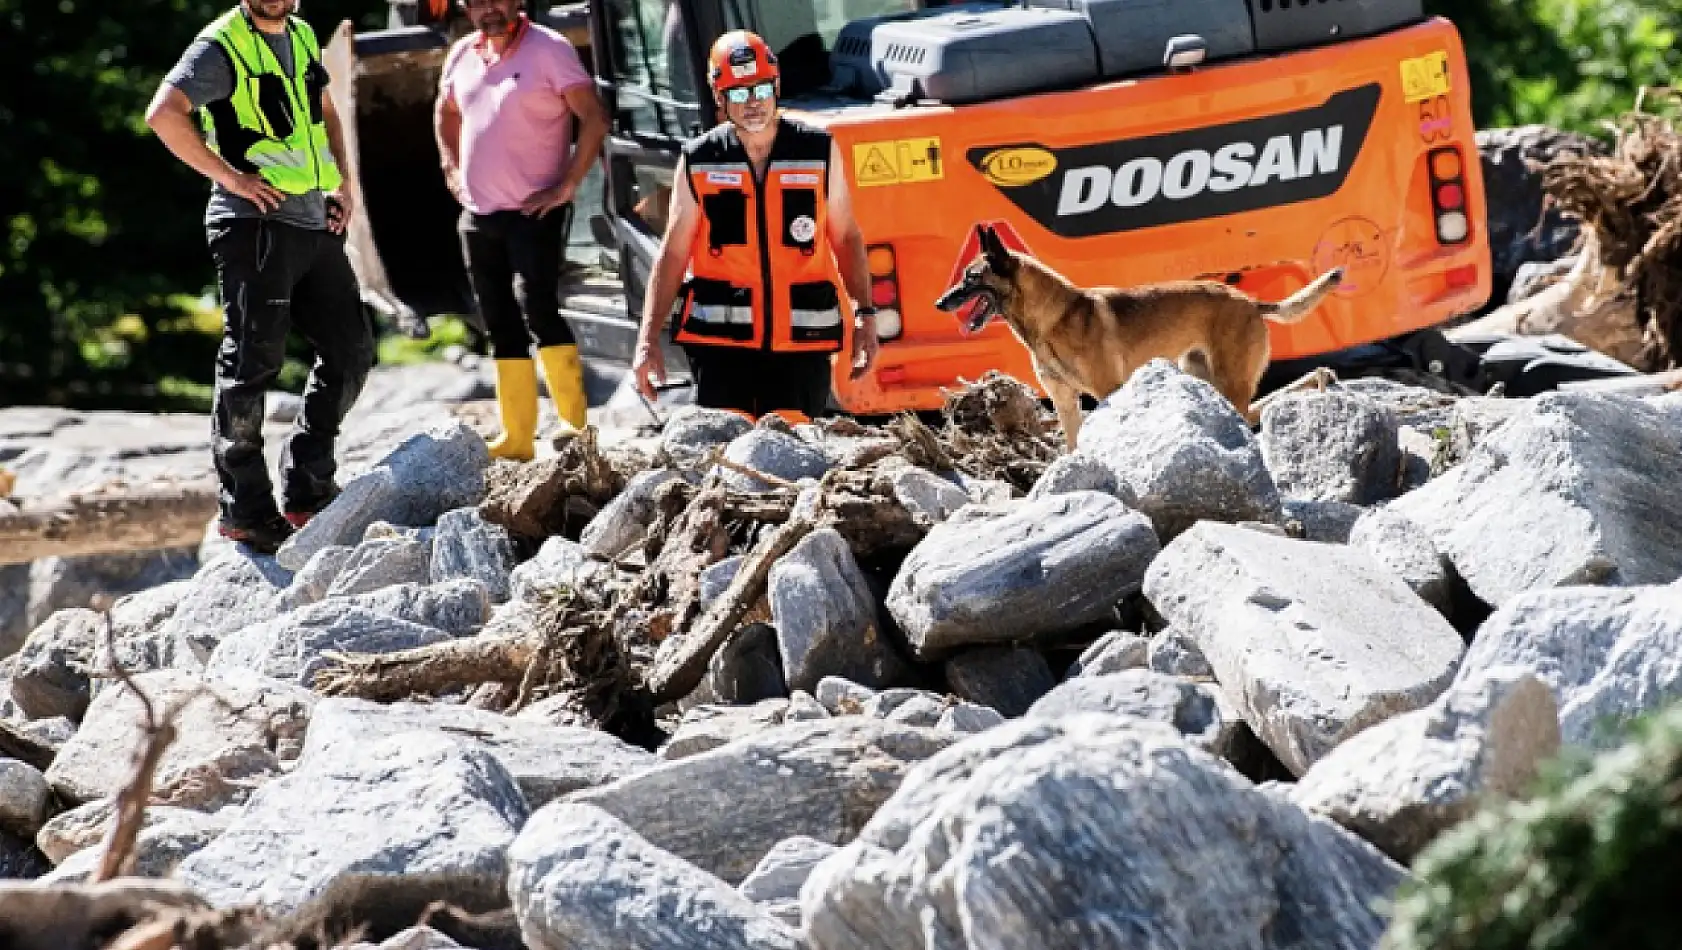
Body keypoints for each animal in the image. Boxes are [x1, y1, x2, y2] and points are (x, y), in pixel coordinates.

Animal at [935, 221, 1338, 447]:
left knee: (1249, 414)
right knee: (1254, 411)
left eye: (971, 278)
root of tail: (1252, 303)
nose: (940, 302)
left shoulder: (1107, 392)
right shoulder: (1065, 403)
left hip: (1230, 382)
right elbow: (1073, 447)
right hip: (1206, 379)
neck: (1051, 320)